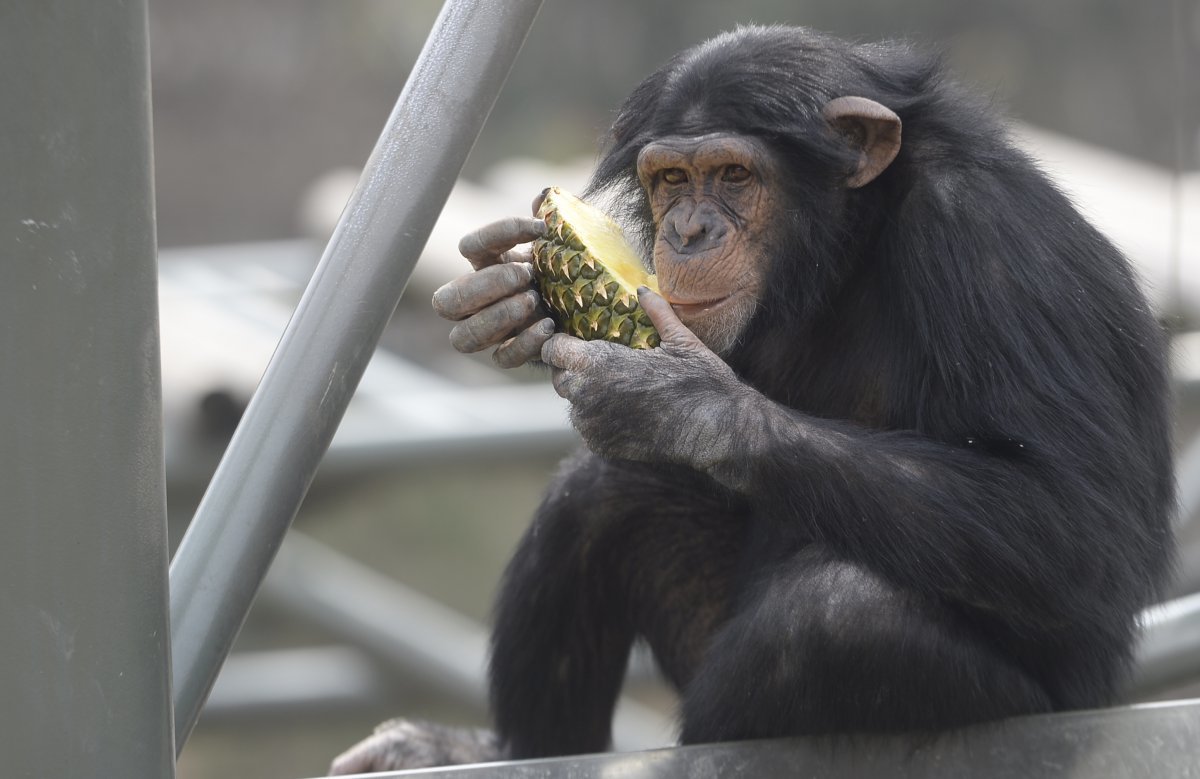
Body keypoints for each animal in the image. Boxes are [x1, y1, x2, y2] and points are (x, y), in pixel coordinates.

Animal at [328, 24, 1171, 772]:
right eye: (671, 179)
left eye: (734, 175)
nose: (690, 230)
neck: (847, 243)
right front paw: (506, 299)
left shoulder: (993, 248)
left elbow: (1075, 520)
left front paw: (678, 401)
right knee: (596, 493)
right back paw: (501, 750)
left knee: (832, 620)